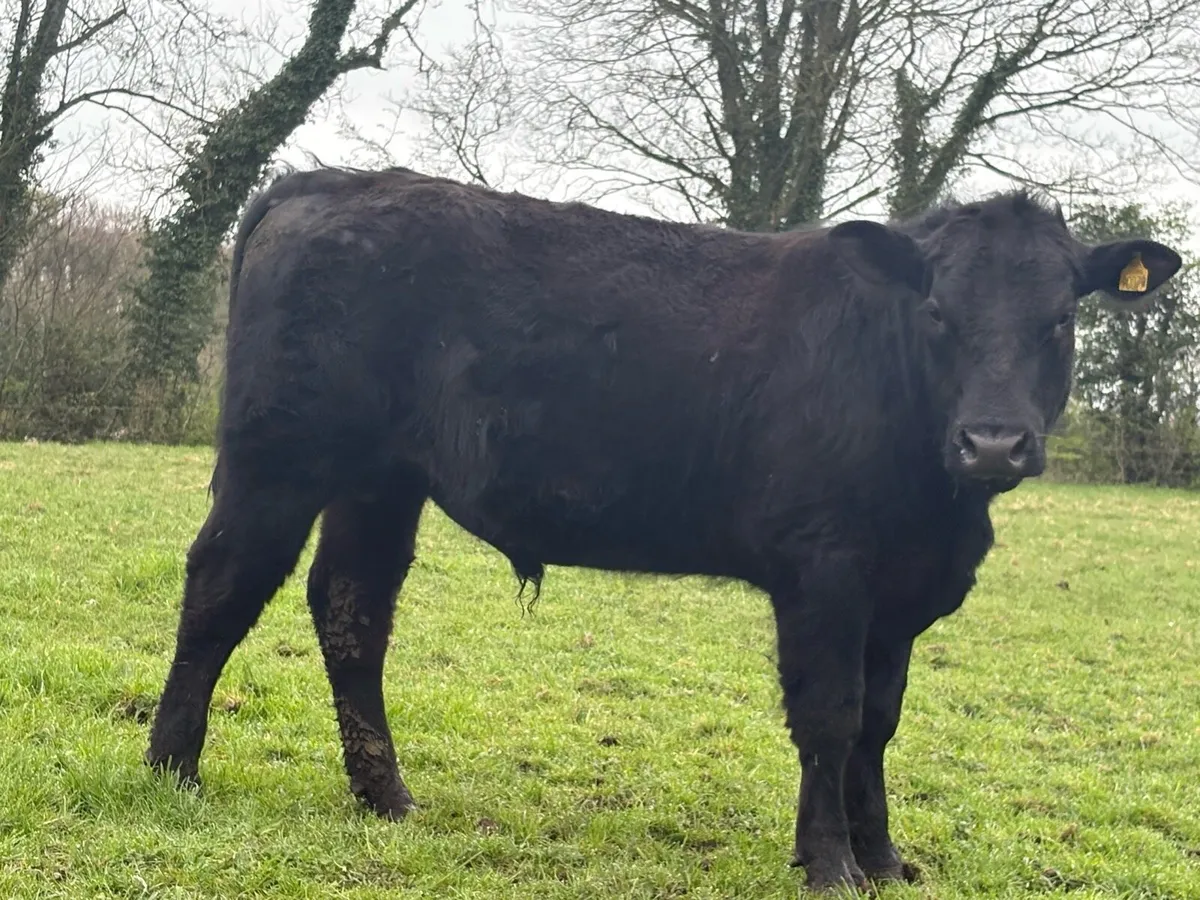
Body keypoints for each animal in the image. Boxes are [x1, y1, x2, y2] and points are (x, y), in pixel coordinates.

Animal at [144, 165, 1181, 891]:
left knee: (351, 613)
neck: (942, 509)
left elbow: (880, 723)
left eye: (1061, 317)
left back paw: (387, 797)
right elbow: (831, 714)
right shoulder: (826, 566)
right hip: (278, 456)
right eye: (935, 309)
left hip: (379, 480)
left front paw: (886, 858)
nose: (995, 441)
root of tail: (327, 181)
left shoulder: (898, 593)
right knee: (220, 588)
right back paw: (171, 769)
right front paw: (830, 863)